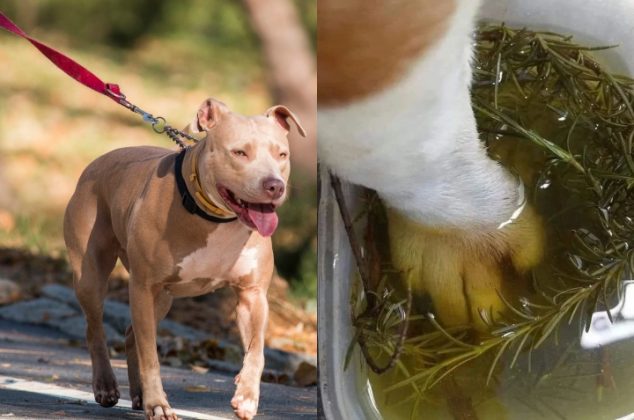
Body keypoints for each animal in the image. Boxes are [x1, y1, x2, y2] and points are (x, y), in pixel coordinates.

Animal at [63, 99, 304, 420]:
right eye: (239, 153)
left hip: (162, 298)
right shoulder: (142, 287)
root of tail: (97, 162)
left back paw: (138, 395)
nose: (274, 185)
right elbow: (151, 356)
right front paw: (158, 404)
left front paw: (246, 396)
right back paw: (106, 386)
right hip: (92, 275)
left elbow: (256, 351)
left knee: (130, 334)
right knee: (96, 328)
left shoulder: (253, 295)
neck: (214, 216)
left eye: (282, 155)